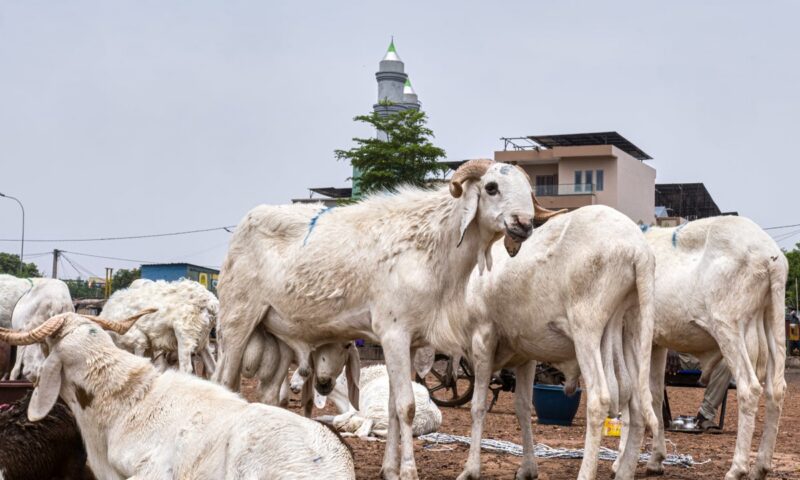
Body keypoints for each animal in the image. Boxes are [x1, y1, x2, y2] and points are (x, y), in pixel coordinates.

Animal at [213, 160, 554, 479]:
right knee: (224, 383)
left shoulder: (411, 342)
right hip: (237, 322)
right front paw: (409, 471)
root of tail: (246, 222)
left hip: (277, 336)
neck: (430, 244)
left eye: (529, 190)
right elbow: (406, 407)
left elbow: (392, 408)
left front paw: (389, 469)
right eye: (492, 187)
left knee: (270, 395)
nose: (524, 225)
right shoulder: (394, 334)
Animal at [451, 205, 658, 480]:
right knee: (636, 404)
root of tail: (639, 250)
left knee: (600, 400)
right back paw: (624, 472)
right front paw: (527, 469)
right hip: (633, 328)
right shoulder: (525, 355)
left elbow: (477, 406)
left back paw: (586, 473)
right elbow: (523, 407)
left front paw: (470, 469)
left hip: (586, 327)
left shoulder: (483, 337)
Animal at [632, 217, 788, 480]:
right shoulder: (656, 342)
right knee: (775, 391)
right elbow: (654, 395)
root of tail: (771, 256)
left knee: (749, 389)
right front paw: (655, 461)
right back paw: (761, 467)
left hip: (728, 326)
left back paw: (737, 468)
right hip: (771, 321)